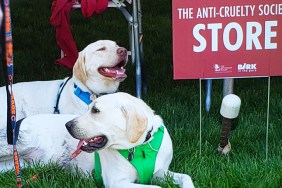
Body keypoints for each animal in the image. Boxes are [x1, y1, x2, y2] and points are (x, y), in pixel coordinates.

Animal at [0, 93, 194, 188]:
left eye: (95, 110)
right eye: (88, 108)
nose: (67, 125)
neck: (139, 147)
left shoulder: (159, 173)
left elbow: (186, 177)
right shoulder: (117, 183)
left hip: (20, 164)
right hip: (15, 145)